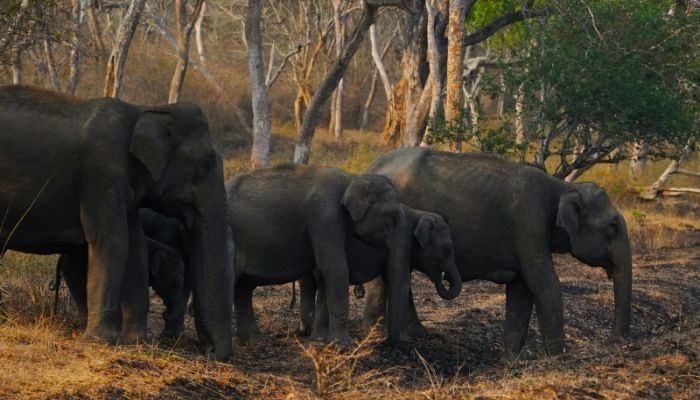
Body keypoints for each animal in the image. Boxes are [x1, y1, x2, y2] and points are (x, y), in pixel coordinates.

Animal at [0, 86, 233, 360]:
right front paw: (100, 341)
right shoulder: (101, 173)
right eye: (204, 166)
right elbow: (112, 241)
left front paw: (135, 342)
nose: (210, 351)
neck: (144, 110)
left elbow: (135, 249)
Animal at [226, 164, 412, 346]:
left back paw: (255, 341)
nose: (386, 341)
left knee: (243, 288)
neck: (353, 178)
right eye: (392, 215)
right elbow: (336, 268)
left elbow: (324, 274)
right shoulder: (325, 217)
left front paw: (320, 339)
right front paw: (343, 345)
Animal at [297, 204, 462, 340]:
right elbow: (400, 284)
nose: (444, 277)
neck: (419, 213)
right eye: (447, 249)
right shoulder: (401, 241)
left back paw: (311, 333)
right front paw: (400, 340)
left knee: (314, 286)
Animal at [363, 148, 632, 356]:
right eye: (611, 227)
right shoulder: (530, 224)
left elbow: (521, 290)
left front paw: (510, 359)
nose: (615, 342)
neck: (563, 186)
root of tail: (371, 167)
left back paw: (413, 334)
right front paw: (557, 358)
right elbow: (544, 284)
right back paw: (377, 335)